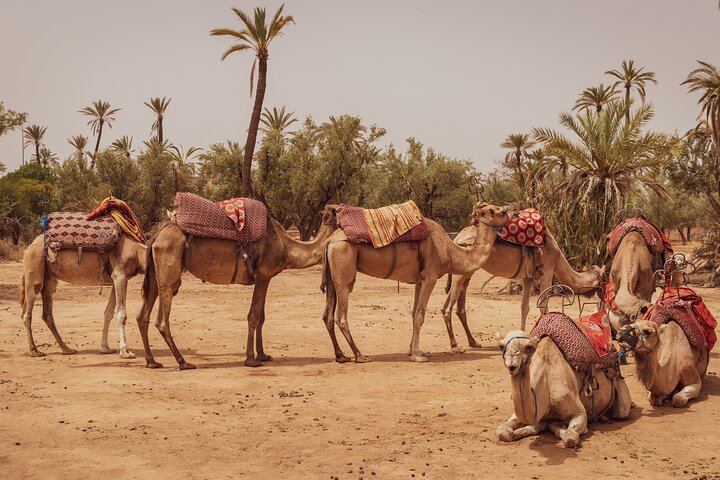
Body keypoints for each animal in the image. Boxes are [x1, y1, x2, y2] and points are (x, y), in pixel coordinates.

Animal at [135, 205, 338, 369]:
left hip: (154, 275)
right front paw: (251, 359)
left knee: (142, 316)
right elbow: (254, 316)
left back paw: (152, 361)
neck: (286, 246)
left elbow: (262, 317)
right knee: (162, 320)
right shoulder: (264, 275)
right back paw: (182, 362)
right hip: (169, 272)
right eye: (338, 211)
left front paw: (263, 354)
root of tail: (156, 236)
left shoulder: (264, 278)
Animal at [321, 202, 509, 363]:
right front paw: (418, 356)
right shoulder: (430, 276)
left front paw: (412, 350)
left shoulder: (419, 280)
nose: (508, 211)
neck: (450, 251)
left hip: (332, 277)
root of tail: (329, 241)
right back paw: (359, 355)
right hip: (344, 269)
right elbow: (420, 315)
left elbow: (413, 313)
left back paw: (341, 356)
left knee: (327, 315)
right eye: (494, 211)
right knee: (341, 316)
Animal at [442, 223, 603, 352]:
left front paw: (522, 337)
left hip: (467, 270)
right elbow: (543, 305)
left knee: (455, 305)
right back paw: (455, 346)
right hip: (461, 271)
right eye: (603, 280)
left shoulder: (527, 278)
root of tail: (457, 239)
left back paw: (473, 342)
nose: (603, 298)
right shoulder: (547, 271)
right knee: (448, 308)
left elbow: (524, 307)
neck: (558, 257)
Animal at [496, 330, 631, 448]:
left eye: (528, 347)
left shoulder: (579, 414)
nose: (512, 362)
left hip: (622, 400)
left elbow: (570, 437)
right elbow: (502, 431)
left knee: (621, 411)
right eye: (501, 346)